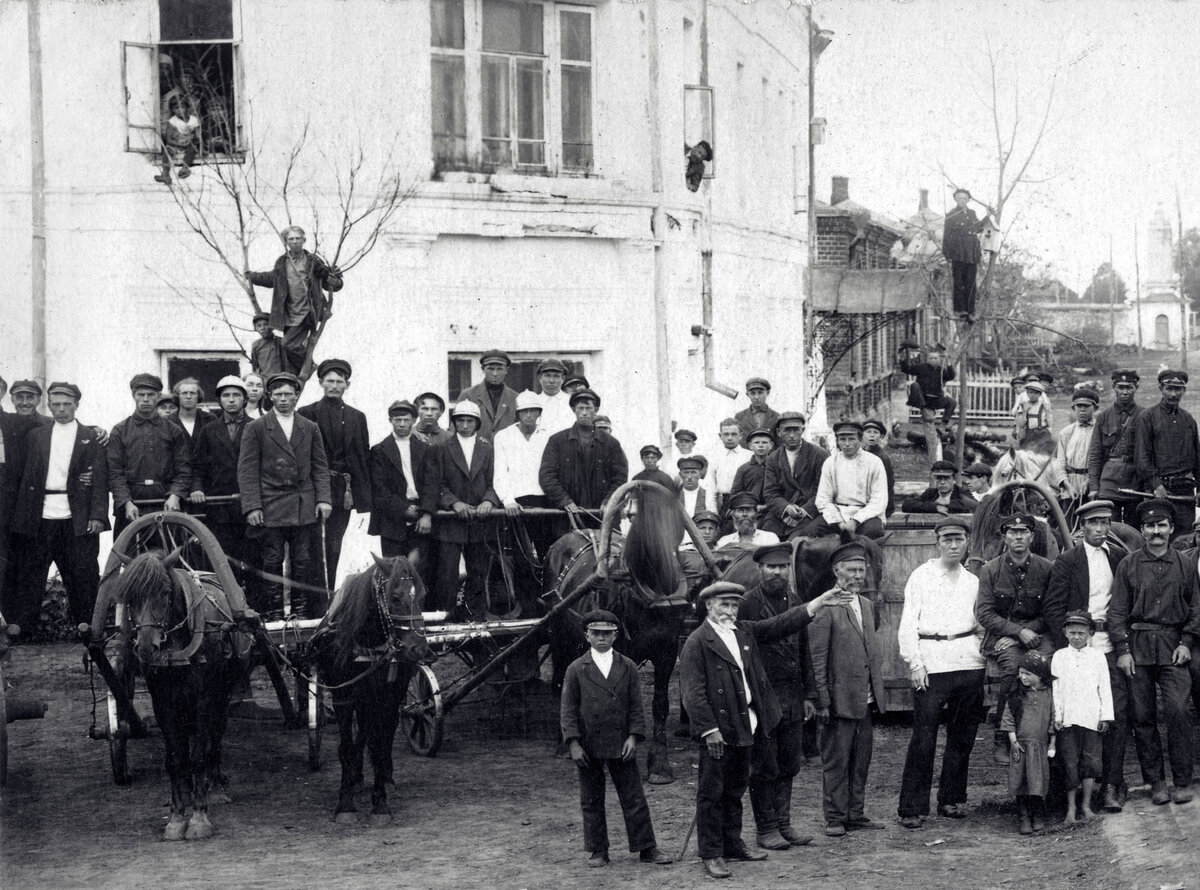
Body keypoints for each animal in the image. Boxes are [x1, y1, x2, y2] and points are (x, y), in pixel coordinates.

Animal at [118, 551, 252, 844]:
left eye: (165, 592)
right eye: (129, 596)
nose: (147, 647)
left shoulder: (203, 699)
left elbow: (199, 756)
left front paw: (199, 818)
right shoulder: (163, 703)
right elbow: (175, 759)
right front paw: (177, 816)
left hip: (221, 696)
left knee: (214, 739)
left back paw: (215, 787)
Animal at [309, 554, 436, 825]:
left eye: (421, 597)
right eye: (395, 596)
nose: (419, 648)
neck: (364, 640)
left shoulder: (384, 697)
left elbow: (379, 743)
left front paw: (380, 802)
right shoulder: (344, 697)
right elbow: (347, 746)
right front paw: (345, 802)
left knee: (384, 733)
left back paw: (385, 775)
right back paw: (356, 776)